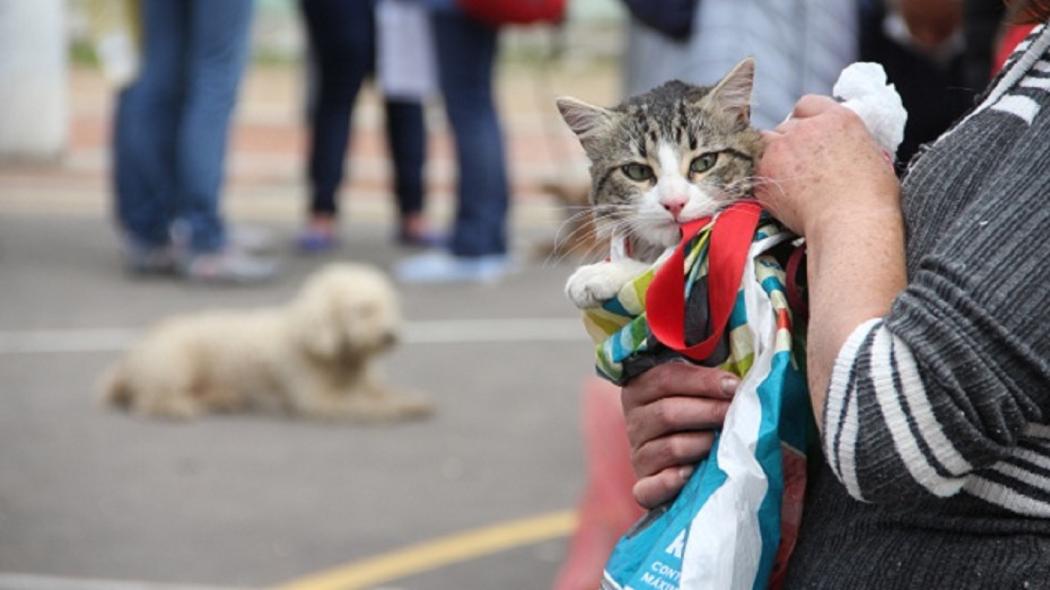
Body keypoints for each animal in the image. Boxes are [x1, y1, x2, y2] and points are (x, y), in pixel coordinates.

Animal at [102, 264, 430, 419]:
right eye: (362, 310)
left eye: (389, 305)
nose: (391, 335)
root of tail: (127, 360)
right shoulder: (318, 399)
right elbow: (365, 403)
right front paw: (403, 406)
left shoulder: (363, 383)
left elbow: (381, 393)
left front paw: (409, 398)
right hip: (172, 363)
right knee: (149, 401)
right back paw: (177, 409)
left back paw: (224, 400)